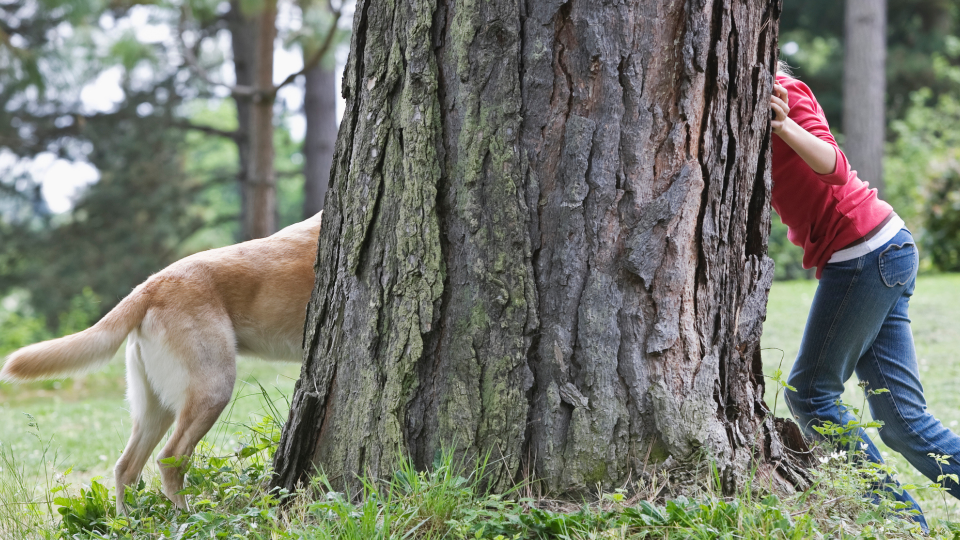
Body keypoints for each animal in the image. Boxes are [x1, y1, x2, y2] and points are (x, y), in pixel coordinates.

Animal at [0, 211, 322, 510]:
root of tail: (149, 286)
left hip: (156, 407)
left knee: (126, 467)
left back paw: (127, 522)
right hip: (212, 390)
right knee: (169, 459)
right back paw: (185, 518)